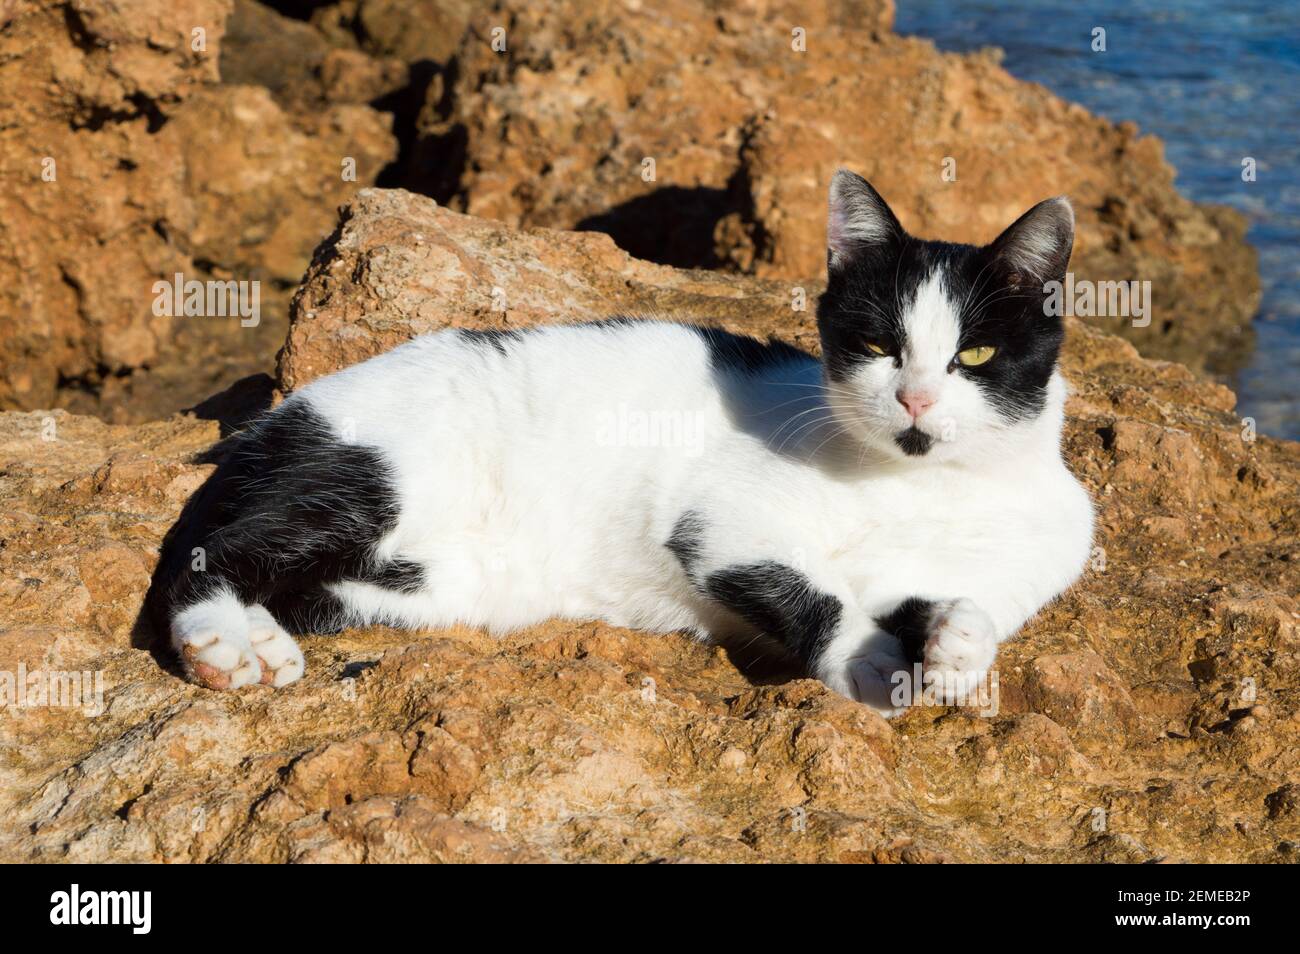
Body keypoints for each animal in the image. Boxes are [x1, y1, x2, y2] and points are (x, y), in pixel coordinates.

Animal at [159, 171, 1097, 712]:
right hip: (371, 472)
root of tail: (286, 414)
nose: (914, 397)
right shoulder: (725, 526)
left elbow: (953, 600)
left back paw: (261, 640)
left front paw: (959, 648)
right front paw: (865, 661)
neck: (927, 488)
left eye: (976, 354)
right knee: (216, 552)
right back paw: (219, 646)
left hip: (417, 585)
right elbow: (812, 592)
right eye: (875, 344)